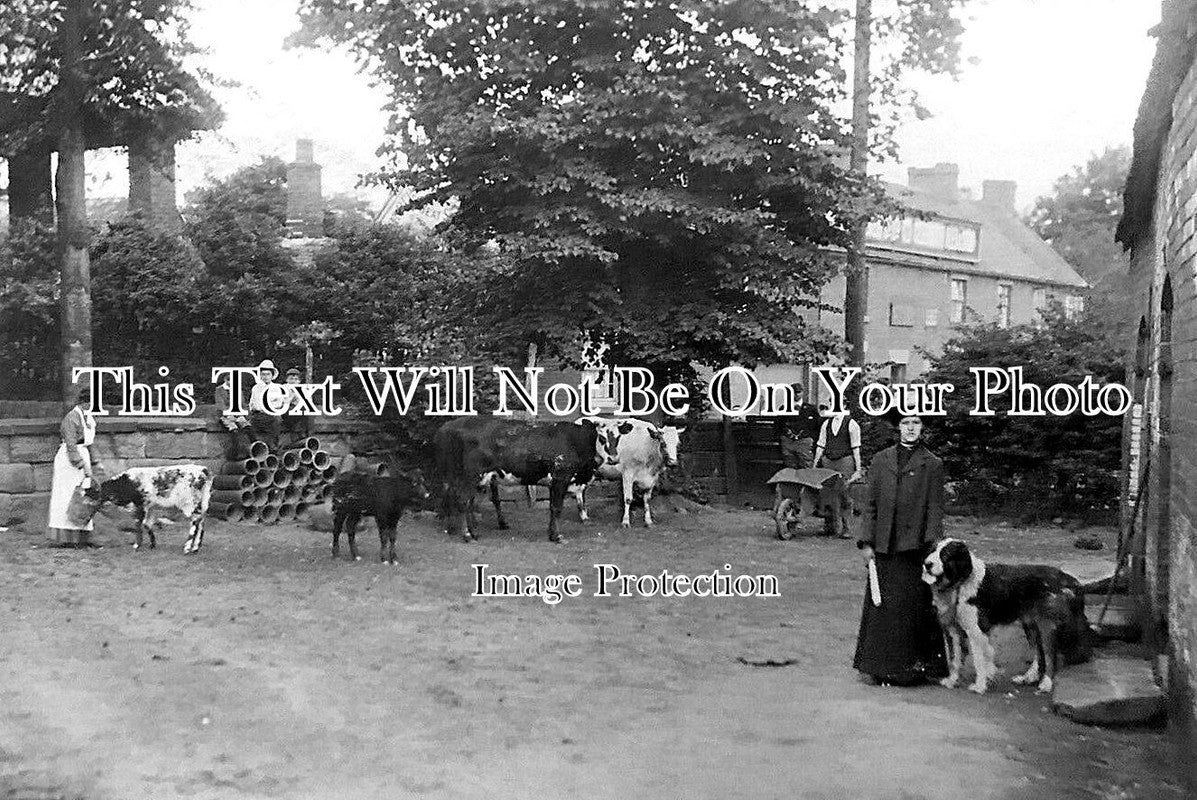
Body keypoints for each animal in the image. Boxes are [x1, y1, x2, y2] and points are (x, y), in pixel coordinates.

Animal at [85, 464, 214, 553]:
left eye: (100, 491)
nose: (87, 494)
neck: (128, 483)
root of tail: (203, 470)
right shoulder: (151, 507)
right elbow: (147, 524)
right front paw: (152, 544)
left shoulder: (140, 505)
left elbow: (138, 524)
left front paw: (137, 545)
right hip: (203, 503)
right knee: (201, 522)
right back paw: (195, 548)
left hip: (189, 504)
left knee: (195, 522)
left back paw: (187, 547)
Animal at [433, 419, 603, 543]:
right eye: (601, 438)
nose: (600, 460)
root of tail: (448, 426)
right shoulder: (561, 477)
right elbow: (556, 508)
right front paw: (557, 536)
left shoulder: (553, 482)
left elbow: (551, 508)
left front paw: (551, 534)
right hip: (471, 476)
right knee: (463, 501)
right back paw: (467, 535)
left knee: (464, 502)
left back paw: (467, 531)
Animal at [924, 536, 1096, 694]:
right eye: (932, 550)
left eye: (945, 555)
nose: (927, 564)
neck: (960, 582)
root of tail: (1069, 579)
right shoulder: (953, 629)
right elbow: (955, 658)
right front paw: (952, 680)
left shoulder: (976, 630)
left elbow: (979, 660)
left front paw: (980, 686)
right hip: (1030, 626)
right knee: (1038, 654)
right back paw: (1028, 677)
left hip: (1046, 625)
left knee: (1049, 654)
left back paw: (1045, 684)